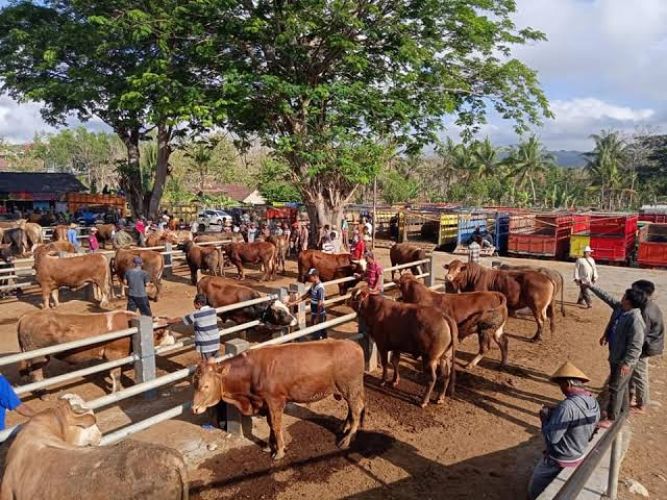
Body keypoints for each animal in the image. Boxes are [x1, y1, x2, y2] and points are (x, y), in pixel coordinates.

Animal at [193, 340, 366, 460]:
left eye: (206, 386)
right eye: (195, 382)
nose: (194, 408)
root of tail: (355, 345)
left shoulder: (275, 401)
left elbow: (276, 426)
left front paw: (280, 451)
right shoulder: (265, 403)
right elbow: (270, 424)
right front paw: (270, 446)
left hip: (351, 388)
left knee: (357, 409)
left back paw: (347, 439)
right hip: (348, 390)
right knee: (352, 409)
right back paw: (344, 428)